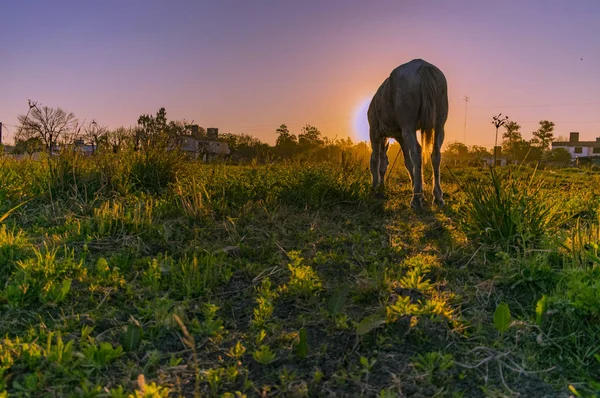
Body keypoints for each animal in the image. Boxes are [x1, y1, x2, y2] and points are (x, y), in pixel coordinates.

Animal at [368, 59, 448, 208]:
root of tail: (424, 67)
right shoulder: (400, 136)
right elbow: (407, 163)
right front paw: (417, 188)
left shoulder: (375, 132)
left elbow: (376, 159)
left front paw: (375, 187)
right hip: (439, 126)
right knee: (436, 154)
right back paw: (437, 196)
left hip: (408, 127)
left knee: (417, 152)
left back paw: (416, 199)